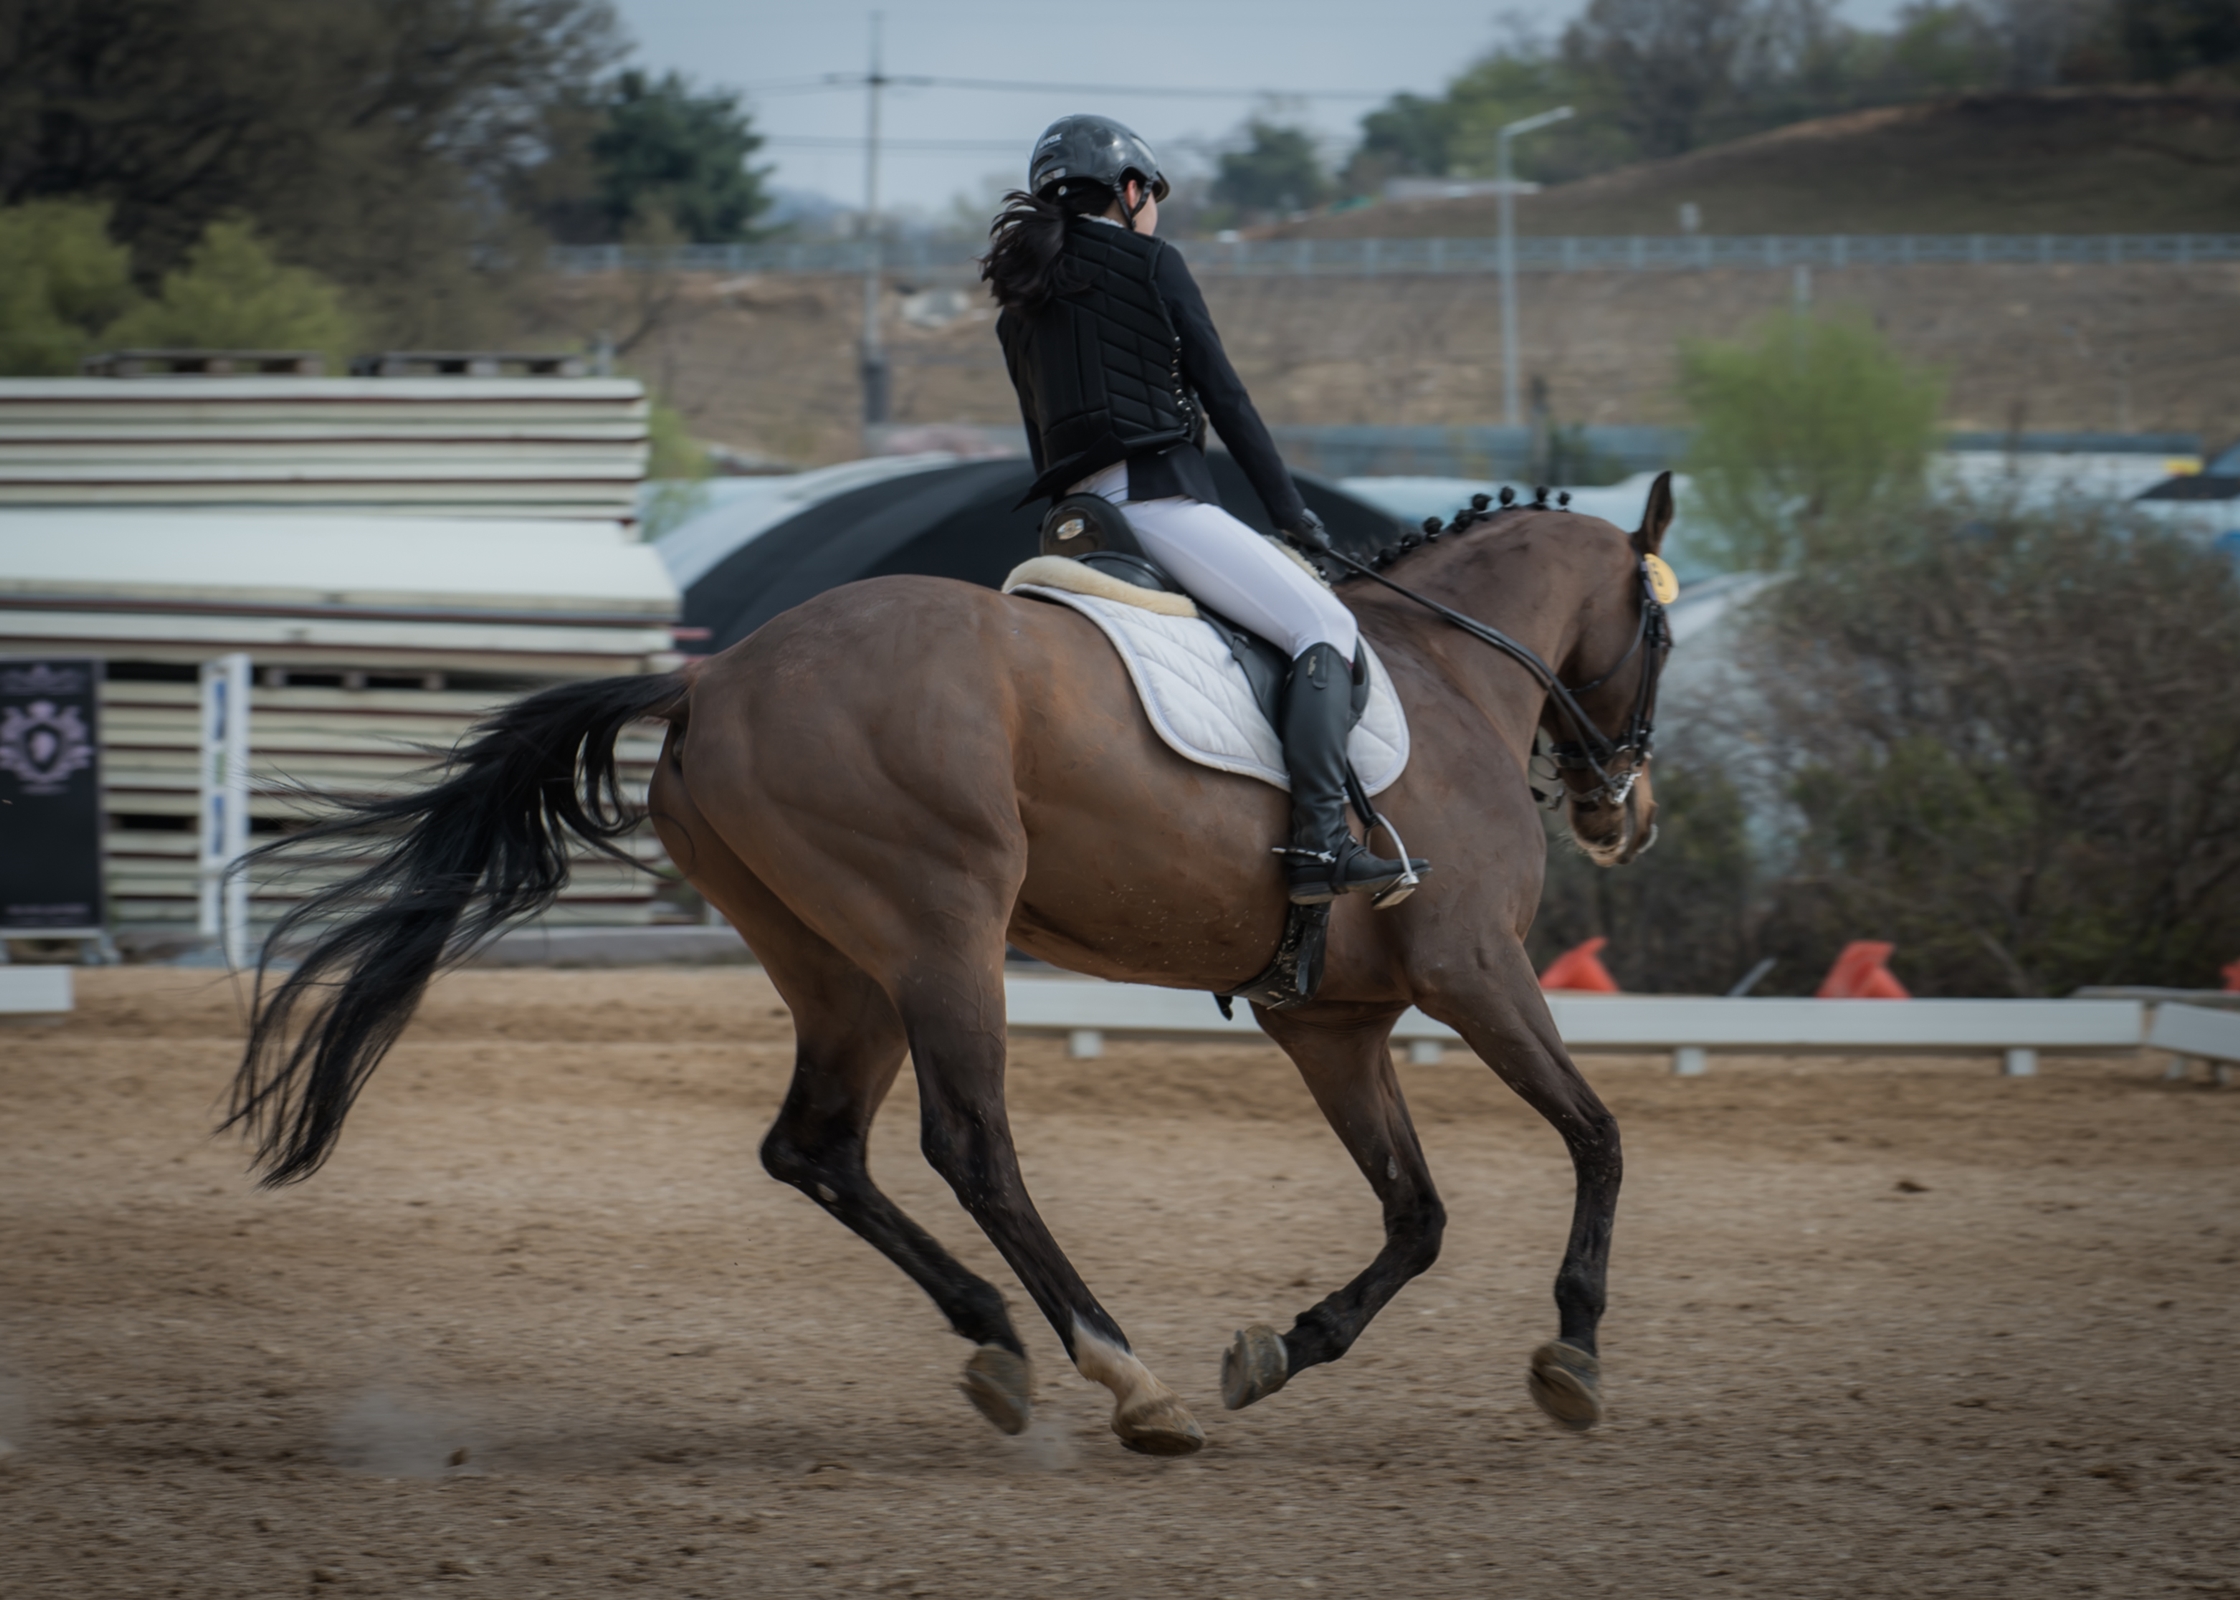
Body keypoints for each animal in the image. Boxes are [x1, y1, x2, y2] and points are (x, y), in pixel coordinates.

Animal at [227, 468, 1675, 1452]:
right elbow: (1598, 1137)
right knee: (971, 1144)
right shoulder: (1472, 972)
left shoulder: (1334, 1022)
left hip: (841, 965)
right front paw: (1574, 1352)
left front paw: (1285, 1346)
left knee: (815, 1143)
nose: (1625, 815)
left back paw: (996, 1338)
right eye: (1660, 637)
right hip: (942, 934)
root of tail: (715, 676)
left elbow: (1416, 1213)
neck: (1447, 674)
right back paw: (1124, 1375)